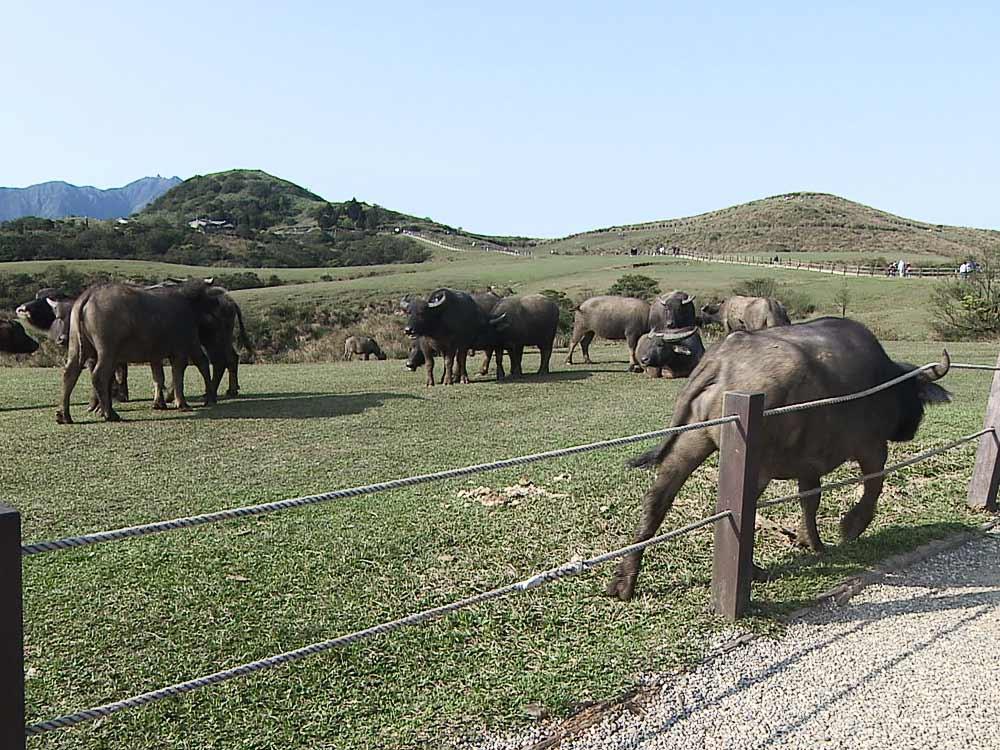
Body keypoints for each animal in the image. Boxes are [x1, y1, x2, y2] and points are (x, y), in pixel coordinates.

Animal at [57, 282, 221, 424]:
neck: (190, 305)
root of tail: (90, 294)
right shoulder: (182, 350)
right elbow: (182, 374)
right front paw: (182, 403)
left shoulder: (156, 354)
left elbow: (158, 377)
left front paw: (159, 403)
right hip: (108, 351)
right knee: (99, 376)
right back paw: (110, 414)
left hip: (77, 345)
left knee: (70, 373)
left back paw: (64, 415)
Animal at [604, 318, 948, 604]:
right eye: (916, 394)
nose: (911, 427)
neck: (884, 379)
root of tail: (722, 361)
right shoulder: (871, 446)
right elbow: (873, 485)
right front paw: (851, 526)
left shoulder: (809, 462)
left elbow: (810, 499)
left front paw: (811, 542)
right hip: (757, 466)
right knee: (737, 509)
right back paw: (752, 570)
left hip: (692, 440)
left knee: (657, 499)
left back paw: (624, 580)